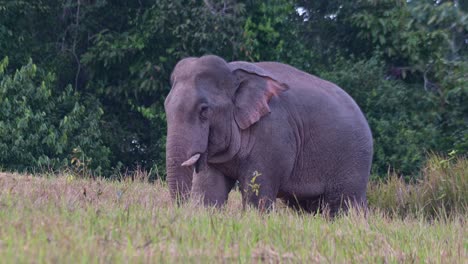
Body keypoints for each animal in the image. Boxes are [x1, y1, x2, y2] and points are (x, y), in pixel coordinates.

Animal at [165, 54, 372, 216]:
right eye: (166, 107)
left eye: (204, 110)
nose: (178, 209)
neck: (233, 71)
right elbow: (209, 191)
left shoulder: (272, 136)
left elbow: (257, 196)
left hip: (353, 161)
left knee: (344, 204)